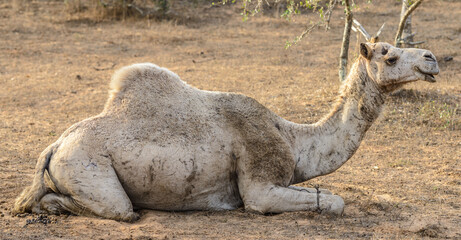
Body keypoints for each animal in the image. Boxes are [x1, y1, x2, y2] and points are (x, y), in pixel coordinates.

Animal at [14, 41, 438, 221]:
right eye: (389, 56)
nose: (432, 59)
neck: (292, 138)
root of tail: (54, 146)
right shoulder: (260, 185)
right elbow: (333, 202)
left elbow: (325, 196)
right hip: (85, 166)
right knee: (120, 210)